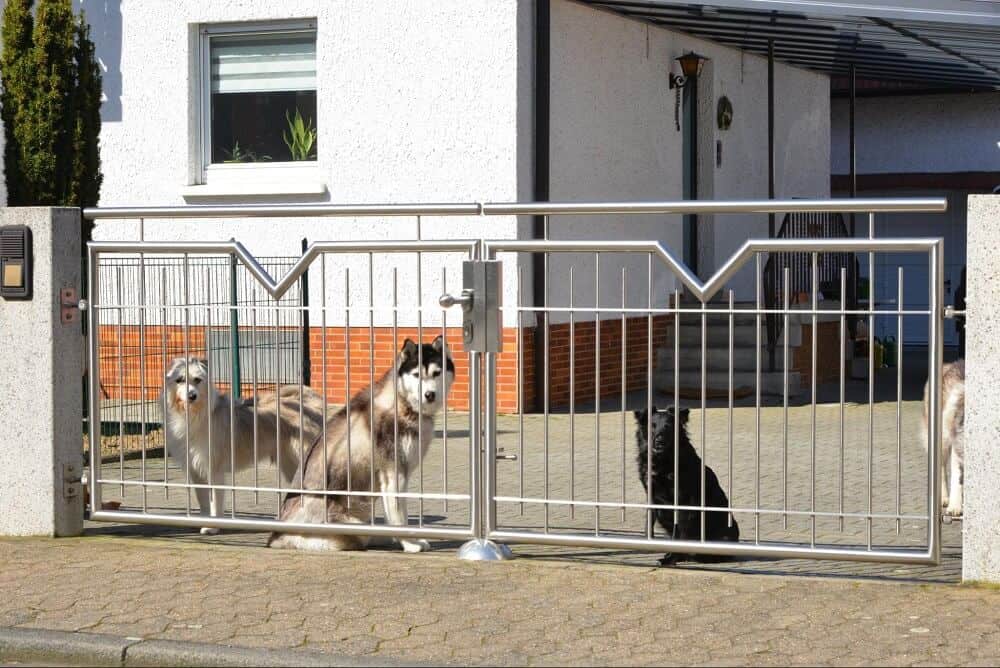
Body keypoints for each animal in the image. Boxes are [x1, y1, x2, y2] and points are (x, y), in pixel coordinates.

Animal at [161, 358, 324, 536]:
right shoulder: (195, 471)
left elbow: (214, 501)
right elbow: (203, 501)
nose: (192, 396)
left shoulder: (214, 470)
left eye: (197, 380)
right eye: (179, 380)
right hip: (290, 464)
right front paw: (204, 521)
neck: (194, 415)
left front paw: (212, 526)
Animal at [266, 340, 454, 552]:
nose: (429, 394)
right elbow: (399, 517)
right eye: (416, 375)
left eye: (437, 373)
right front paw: (410, 543)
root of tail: (276, 535)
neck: (402, 403)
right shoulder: (394, 474)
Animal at [636, 404, 740, 568]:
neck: (664, 460)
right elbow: (648, 525)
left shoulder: (683, 502)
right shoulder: (651, 497)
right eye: (652, 426)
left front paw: (671, 558)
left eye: (669, 427)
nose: (659, 441)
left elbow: (678, 535)